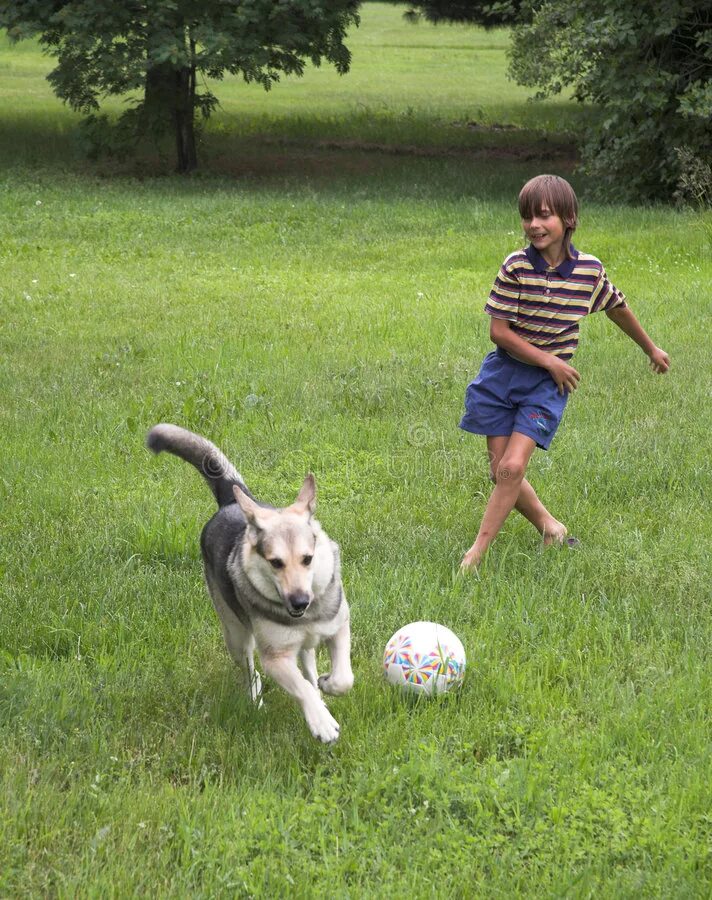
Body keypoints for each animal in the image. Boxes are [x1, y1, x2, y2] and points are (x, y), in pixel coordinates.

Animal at [147, 426, 354, 740]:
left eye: (308, 559)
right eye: (275, 562)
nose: (300, 602)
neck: (304, 616)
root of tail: (233, 501)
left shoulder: (339, 624)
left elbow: (343, 677)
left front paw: (328, 684)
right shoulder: (275, 658)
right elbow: (300, 687)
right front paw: (321, 722)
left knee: (307, 659)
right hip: (235, 634)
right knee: (251, 671)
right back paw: (257, 702)